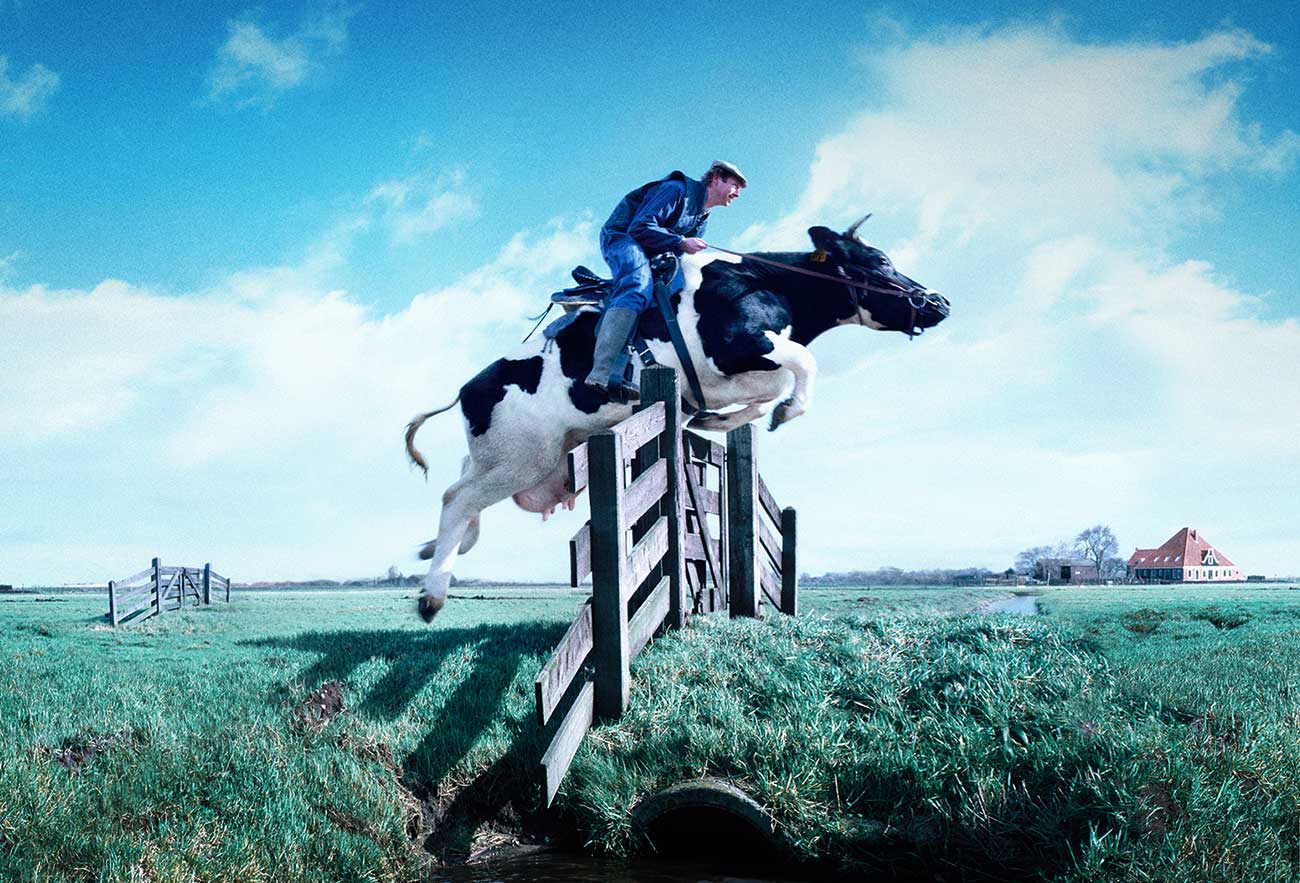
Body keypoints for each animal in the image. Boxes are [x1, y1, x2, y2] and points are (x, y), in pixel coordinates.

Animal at [404, 218, 950, 621]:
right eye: (881, 260)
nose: (940, 301)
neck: (764, 285)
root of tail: (470, 387)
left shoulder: (734, 372)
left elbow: (769, 391)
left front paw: (714, 422)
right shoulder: (736, 348)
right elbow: (803, 367)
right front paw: (785, 410)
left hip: (514, 461)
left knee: (461, 495)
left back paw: (431, 554)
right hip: (520, 460)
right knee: (457, 500)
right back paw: (432, 596)